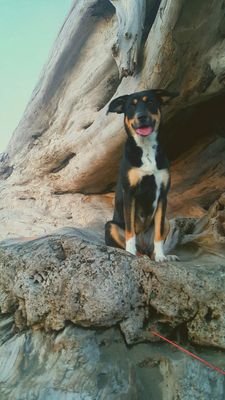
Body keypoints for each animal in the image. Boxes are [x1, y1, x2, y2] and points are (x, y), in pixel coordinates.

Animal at [104, 89, 179, 260]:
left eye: (150, 102)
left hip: (167, 221)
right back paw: (137, 254)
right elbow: (130, 231)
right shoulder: (129, 193)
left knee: (151, 250)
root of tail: (143, 245)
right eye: (131, 106)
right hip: (110, 226)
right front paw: (130, 253)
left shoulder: (162, 195)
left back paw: (160, 255)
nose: (141, 116)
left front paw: (161, 257)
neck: (146, 148)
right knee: (135, 247)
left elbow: (158, 234)